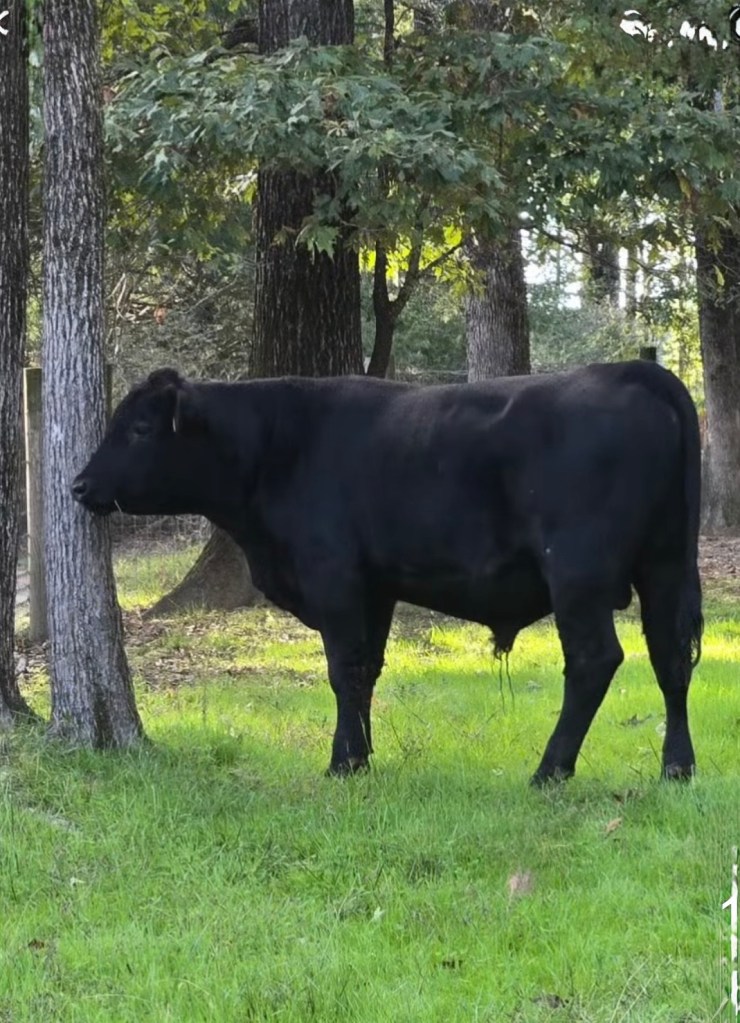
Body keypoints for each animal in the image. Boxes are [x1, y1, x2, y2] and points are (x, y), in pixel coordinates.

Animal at [72, 361, 703, 784]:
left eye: (140, 429)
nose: (79, 484)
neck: (276, 447)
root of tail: (628, 369)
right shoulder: (375, 589)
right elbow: (367, 670)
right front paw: (362, 754)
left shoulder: (334, 579)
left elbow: (344, 670)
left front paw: (343, 762)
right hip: (665, 563)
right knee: (670, 657)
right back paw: (677, 767)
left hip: (579, 574)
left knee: (596, 660)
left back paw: (550, 770)